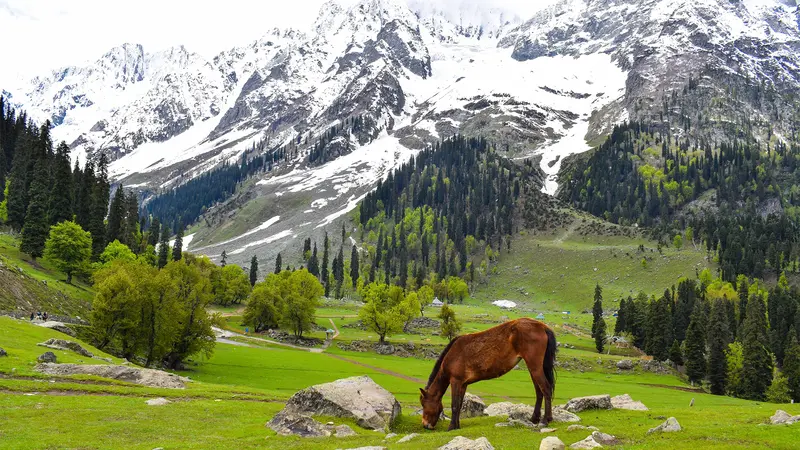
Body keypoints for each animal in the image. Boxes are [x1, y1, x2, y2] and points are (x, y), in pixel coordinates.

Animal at [419, 318, 557, 430]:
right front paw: (457, 426)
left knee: (546, 389)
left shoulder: (455, 381)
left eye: (423, 404)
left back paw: (545, 420)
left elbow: (454, 405)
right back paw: (534, 419)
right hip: (533, 368)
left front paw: (451, 427)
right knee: (539, 391)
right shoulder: (463, 384)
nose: (425, 425)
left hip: (535, 367)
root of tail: (542, 327)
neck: (452, 355)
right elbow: (459, 404)